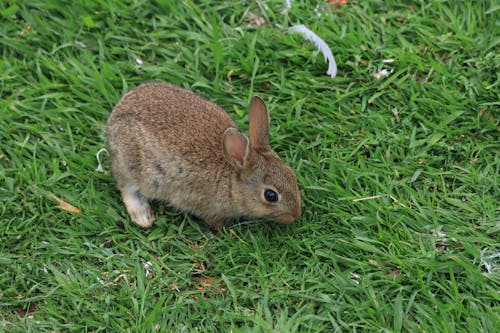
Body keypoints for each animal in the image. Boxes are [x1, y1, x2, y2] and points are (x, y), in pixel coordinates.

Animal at [106, 82, 300, 228]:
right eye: (271, 196)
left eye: (292, 174)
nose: (295, 215)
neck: (232, 182)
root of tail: (115, 116)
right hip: (131, 164)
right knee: (126, 188)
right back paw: (143, 217)